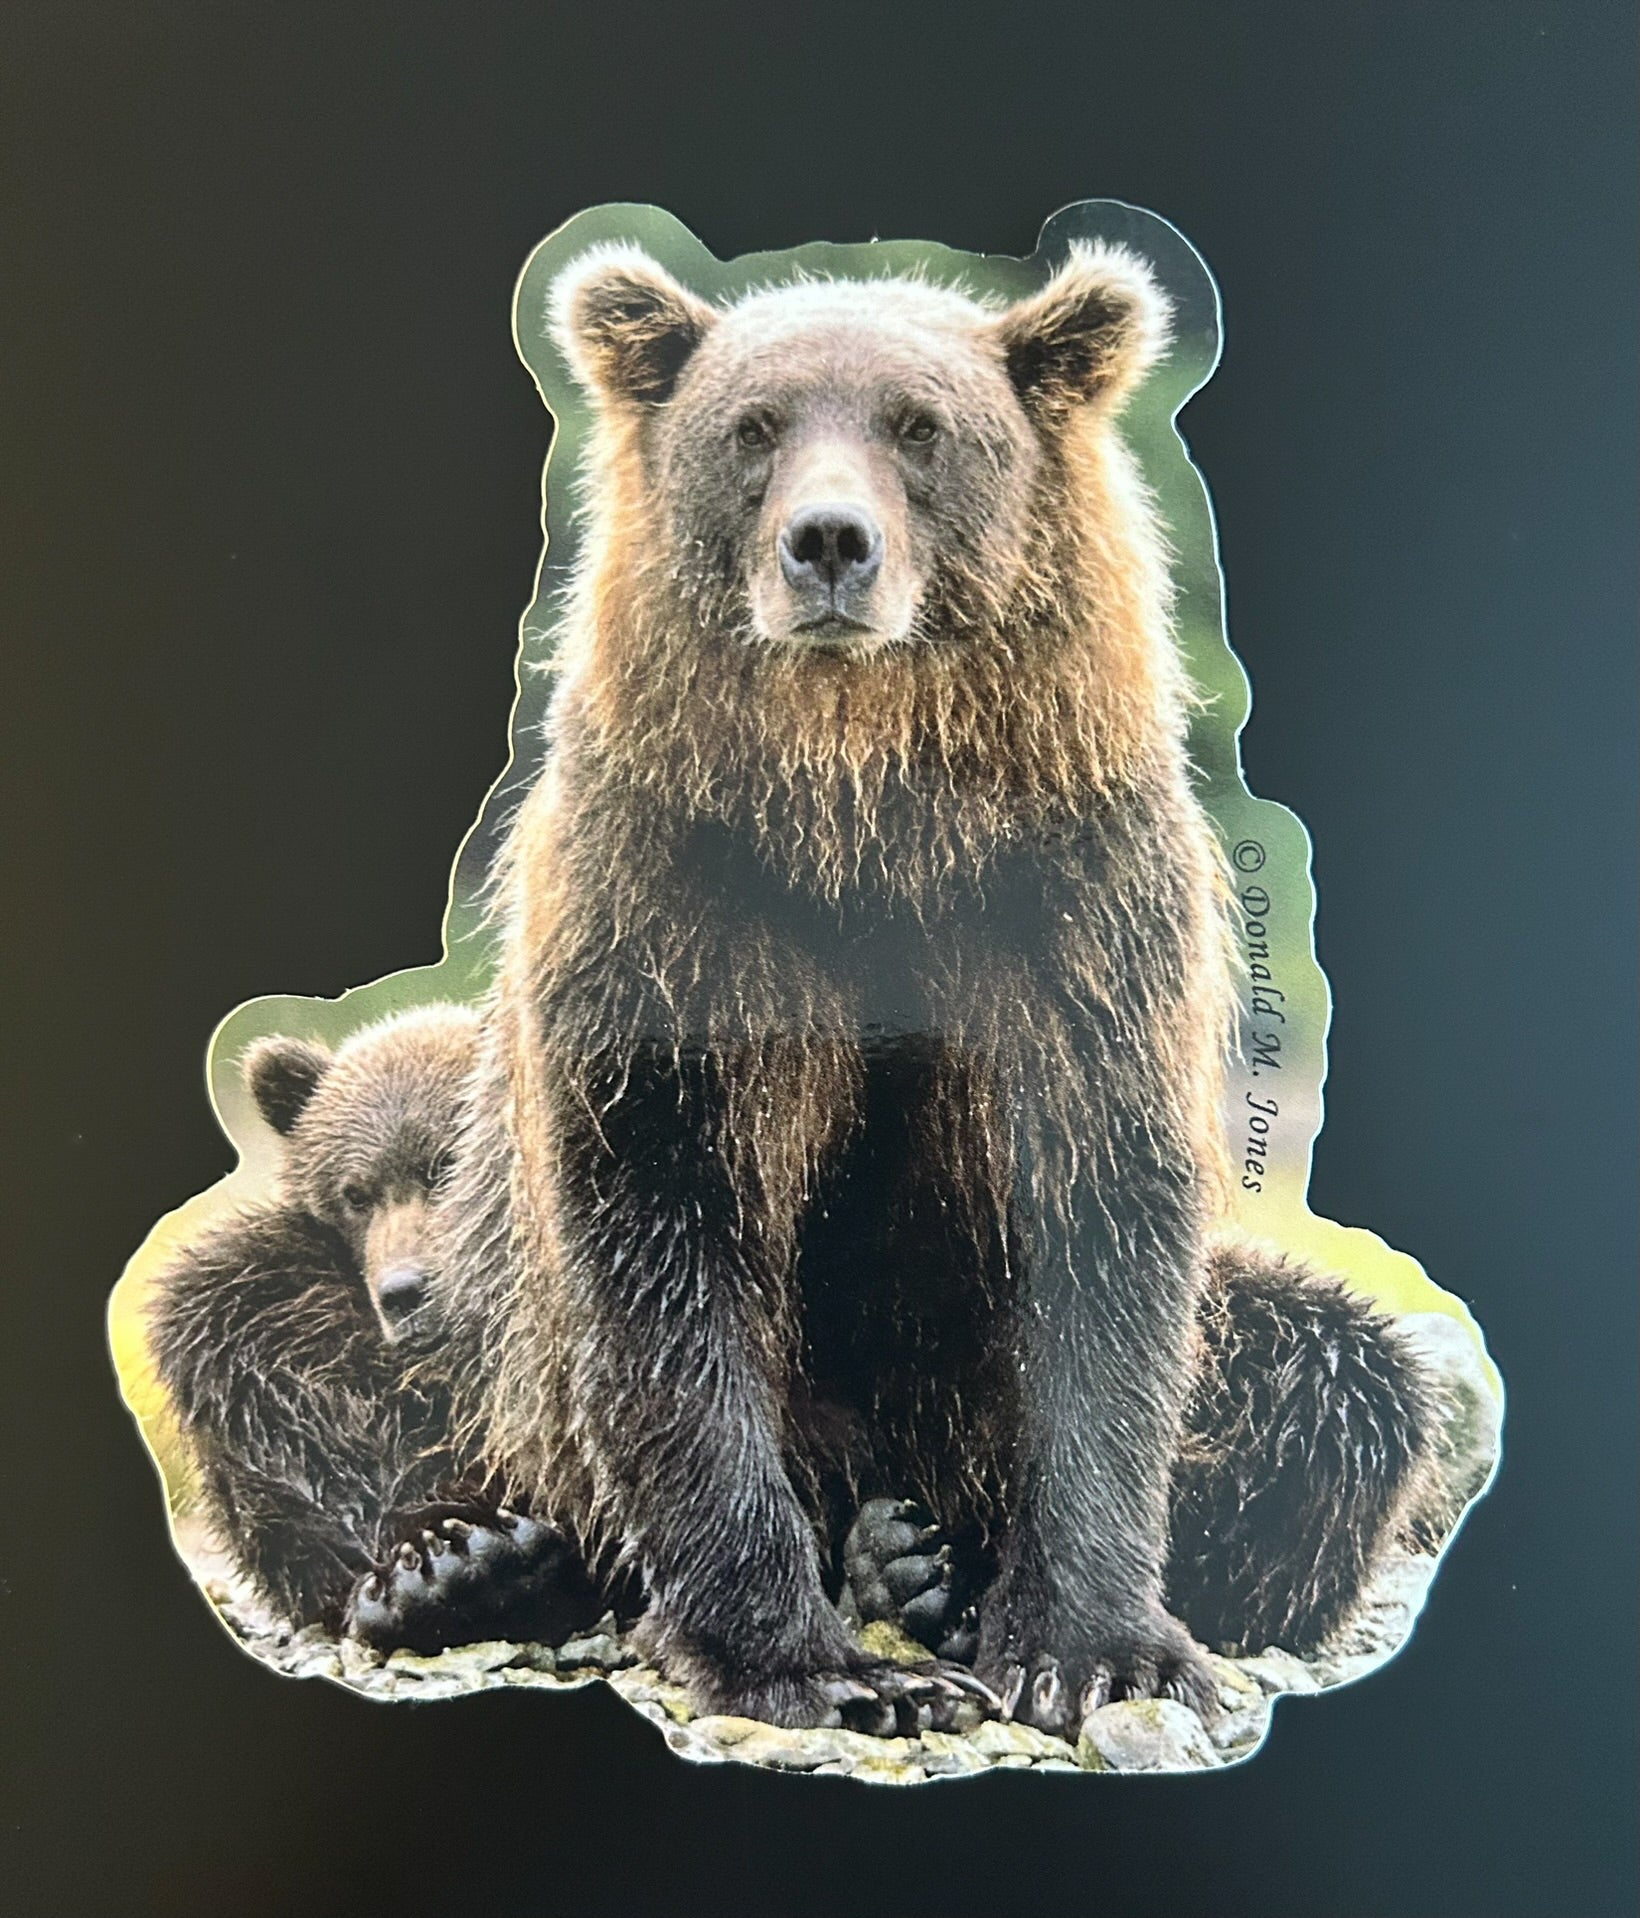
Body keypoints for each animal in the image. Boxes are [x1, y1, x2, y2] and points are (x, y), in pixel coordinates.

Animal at [425, 239, 1435, 1736]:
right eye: (753, 428)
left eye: (920, 428)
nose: (829, 543)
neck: (864, 807)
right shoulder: (675, 901)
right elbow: (667, 1229)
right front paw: (816, 1666)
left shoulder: (1070, 913)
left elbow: (1102, 1237)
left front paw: (1093, 1643)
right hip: (484, 1355)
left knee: (1347, 1374)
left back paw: (928, 1568)